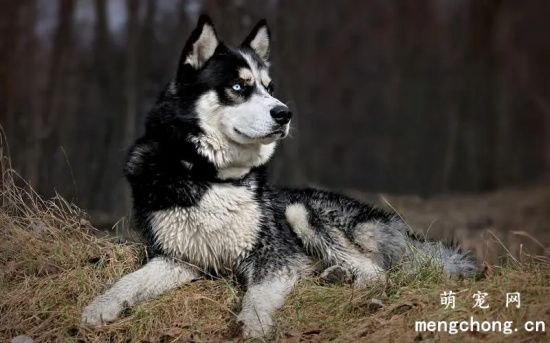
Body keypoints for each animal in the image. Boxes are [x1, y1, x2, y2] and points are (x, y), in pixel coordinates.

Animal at [80, 15, 480, 338]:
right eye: (239, 87)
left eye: (269, 88)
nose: (285, 113)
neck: (213, 177)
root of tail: (399, 227)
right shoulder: (178, 257)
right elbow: (129, 282)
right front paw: (100, 306)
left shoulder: (273, 257)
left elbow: (258, 295)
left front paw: (253, 325)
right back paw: (333, 274)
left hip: (301, 210)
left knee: (376, 272)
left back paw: (353, 283)